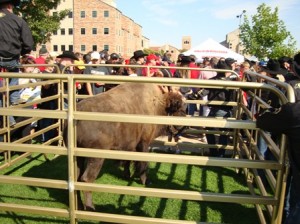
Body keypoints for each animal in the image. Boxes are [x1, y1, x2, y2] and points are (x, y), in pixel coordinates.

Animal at [64, 82, 186, 210]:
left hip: (78, 158)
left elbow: (128, 161)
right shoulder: (143, 144)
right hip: (96, 158)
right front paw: (146, 181)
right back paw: (90, 207)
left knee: (77, 178)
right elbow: (143, 164)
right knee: (86, 179)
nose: (185, 126)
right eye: (180, 109)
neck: (158, 103)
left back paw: (79, 206)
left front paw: (127, 175)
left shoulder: (130, 146)